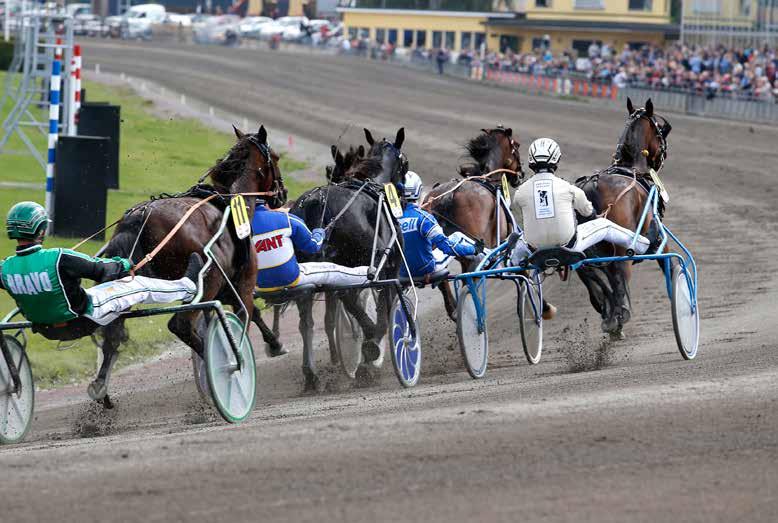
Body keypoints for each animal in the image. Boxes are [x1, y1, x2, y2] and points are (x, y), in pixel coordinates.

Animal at [90, 127, 284, 406]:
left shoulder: (226, 288)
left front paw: (275, 344)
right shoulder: (241, 284)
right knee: (180, 325)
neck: (231, 201)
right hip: (206, 278)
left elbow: (252, 314)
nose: (282, 193)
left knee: (112, 333)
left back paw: (101, 390)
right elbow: (246, 316)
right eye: (276, 158)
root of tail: (140, 217)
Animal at [422, 129, 524, 322]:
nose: (521, 174)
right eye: (516, 146)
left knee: (441, 276)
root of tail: (449, 195)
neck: (487, 178)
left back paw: (453, 309)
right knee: (468, 280)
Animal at [572, 99, 668, 340]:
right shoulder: (660, 241)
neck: (629, 167)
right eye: (661, 131)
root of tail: (594, 185)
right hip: (621, 248)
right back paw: (620, 315)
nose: (661, 159)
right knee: (619, 274)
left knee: (591, 274)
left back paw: (609, 315)